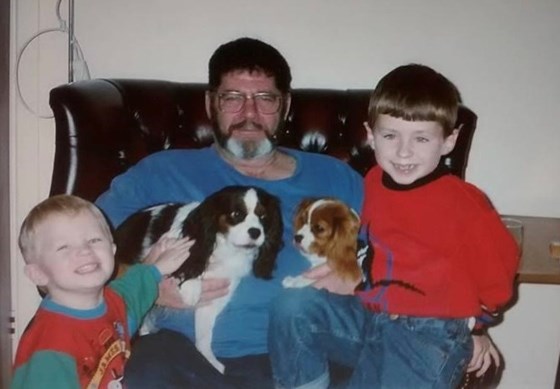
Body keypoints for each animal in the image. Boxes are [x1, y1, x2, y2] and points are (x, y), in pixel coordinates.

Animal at [114, 186, 282, 372]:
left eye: (263, 217)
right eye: (236, 214)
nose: (255, 232)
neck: (225, 248)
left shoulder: (215, 300)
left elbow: (203, 338)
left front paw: (211, 363)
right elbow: (189, 266)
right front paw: (192, 287)